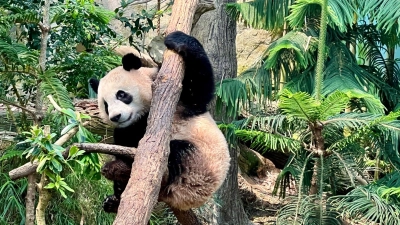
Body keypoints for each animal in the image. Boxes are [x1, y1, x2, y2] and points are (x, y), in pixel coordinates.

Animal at [89, 31, 230, 213]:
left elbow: (200, 88)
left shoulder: (181, 100)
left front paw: (177, 39)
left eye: (121, 94)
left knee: (178, 151)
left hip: (200, 167)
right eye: (105, 105)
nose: (116, 117)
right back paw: (114, 196)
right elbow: (124, 135)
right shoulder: (132, 127)